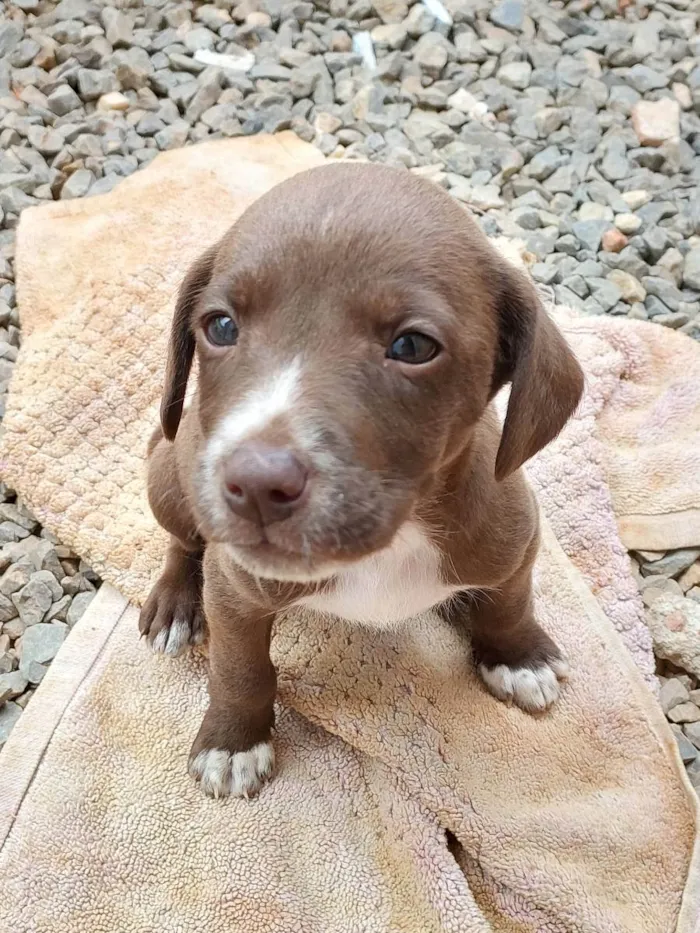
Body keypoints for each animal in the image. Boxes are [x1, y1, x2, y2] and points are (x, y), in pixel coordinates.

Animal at [139, 158, 584, 792]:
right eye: (220, 326)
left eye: (413, 345)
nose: (256, 486)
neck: (395, 541)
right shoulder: (235, 589)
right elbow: (240, 666)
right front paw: (233, 741)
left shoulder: (517, 538)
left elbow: (511, 600)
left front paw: (519, 656)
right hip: (168, 480)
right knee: (183, 542)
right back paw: (176, 603)